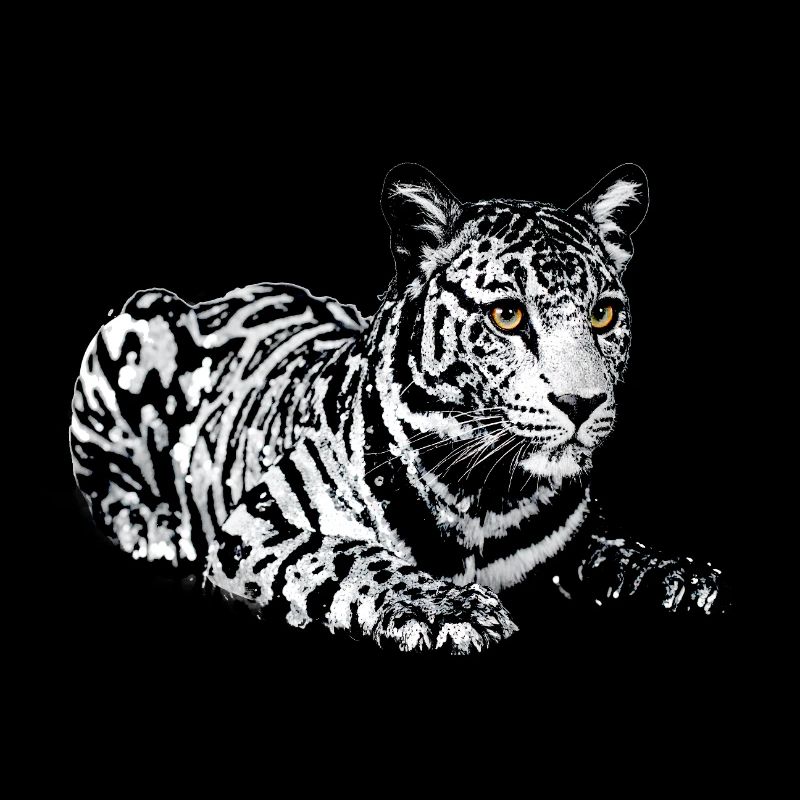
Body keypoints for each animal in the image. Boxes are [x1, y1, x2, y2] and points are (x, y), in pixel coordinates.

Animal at [70, 163, 728, 654]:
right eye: (507, 315)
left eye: (603, 315)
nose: (581, 403)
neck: (486, 493)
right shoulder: (258, 525)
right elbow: (352, 555)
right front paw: (456, 609)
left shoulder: (578, 539)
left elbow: (616, 550)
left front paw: (679, 576)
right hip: (136, 324)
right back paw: (159, 529)